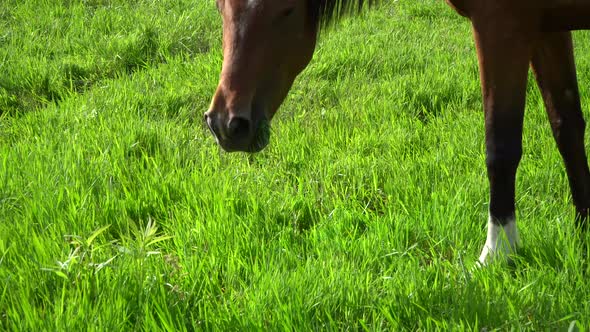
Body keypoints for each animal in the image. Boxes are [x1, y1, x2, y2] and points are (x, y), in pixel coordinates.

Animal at [204, 0, 590, 264]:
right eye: (221, 8)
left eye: (285, 11)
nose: (226, 123)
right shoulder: (546, 28)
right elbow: (567, 127)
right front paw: (584, 228)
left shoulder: (503, 27)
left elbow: (501, 147)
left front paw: (497, 253)